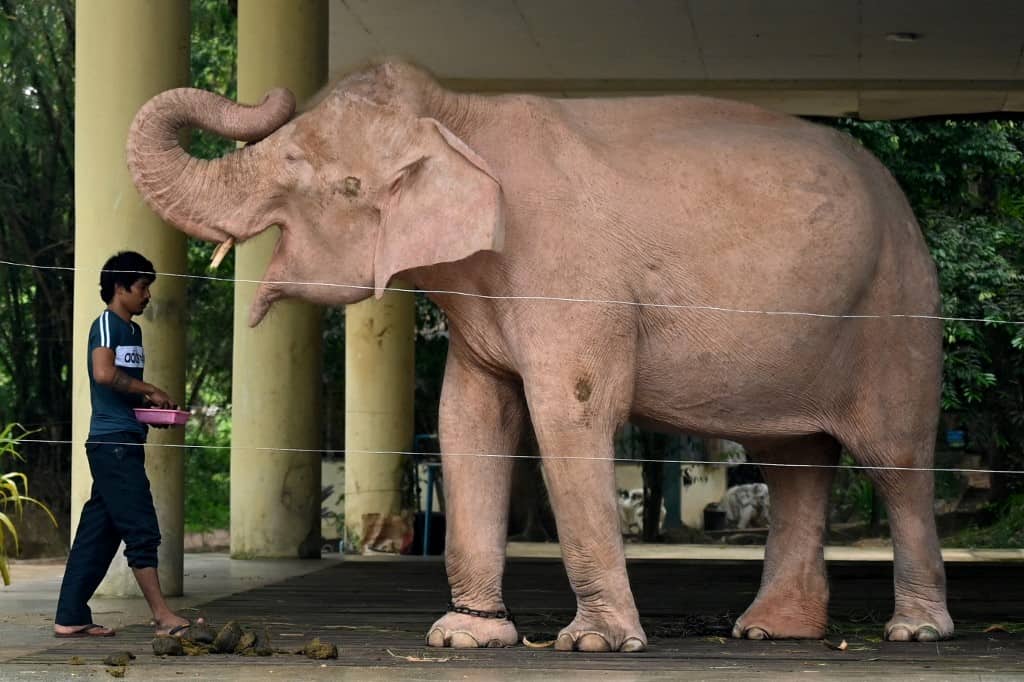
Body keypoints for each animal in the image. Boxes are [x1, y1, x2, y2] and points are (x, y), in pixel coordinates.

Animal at [127, 59, 952, 651]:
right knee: (793, 462)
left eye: (336, 180)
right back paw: (771, 631)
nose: (270, 91)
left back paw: (913, 630)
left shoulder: (569, 276)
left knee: (895, 460)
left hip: (898, 306)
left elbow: (569, 413)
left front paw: (593, 644)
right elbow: (468, 420)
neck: (463, 116)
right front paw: (468, 636)